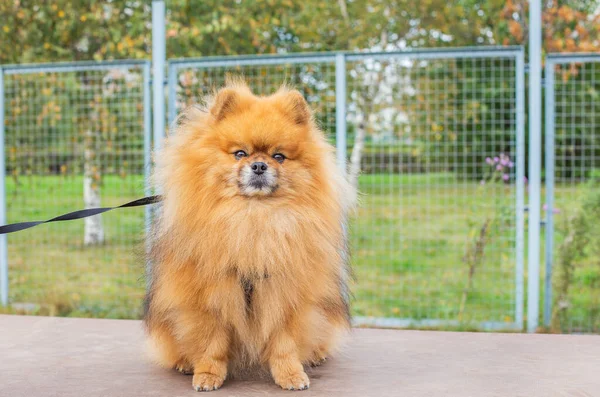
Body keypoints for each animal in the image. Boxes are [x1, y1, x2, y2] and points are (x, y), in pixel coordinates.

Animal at [143, 79, 354, 390]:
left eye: (279, 156)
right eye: (240, 153)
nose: (259, 165)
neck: (253, 218)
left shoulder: (284, 295)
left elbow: (284, 343)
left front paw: (291, 374)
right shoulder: (210, 298)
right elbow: (212, 343)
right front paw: (207, 374)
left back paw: (315, 356)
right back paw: (185, 363)